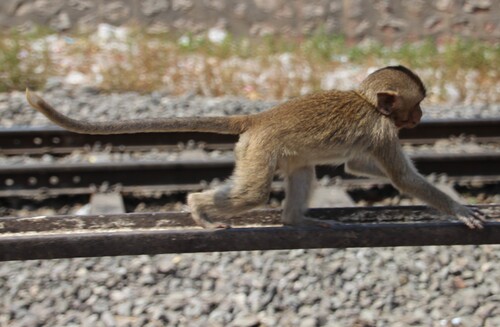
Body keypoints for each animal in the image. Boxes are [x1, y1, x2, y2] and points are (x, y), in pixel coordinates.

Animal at [25, 66, 486, 231]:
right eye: (418, 104)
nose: (422, 118)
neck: (369, 103)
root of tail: (259, 118)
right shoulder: (382, 130)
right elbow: (401, 178)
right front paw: (458, 208)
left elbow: (356, 167)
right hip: (258, 149)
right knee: (252, 193)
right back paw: (198, 209)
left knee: (301, 172)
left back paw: (297, 221)